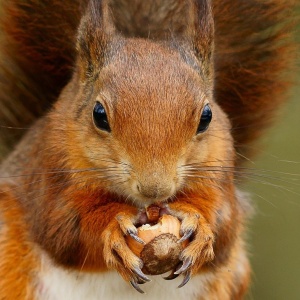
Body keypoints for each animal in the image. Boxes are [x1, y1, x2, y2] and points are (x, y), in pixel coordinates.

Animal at [0, 0, 294, 298]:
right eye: (99, 115)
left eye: (206, 116)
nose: (155, 190)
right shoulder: (49, 173)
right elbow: (64, 230)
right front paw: (115, 227)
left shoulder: (221, 173)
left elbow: (224, 223)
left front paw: (199, 224)